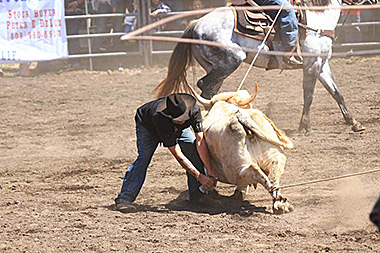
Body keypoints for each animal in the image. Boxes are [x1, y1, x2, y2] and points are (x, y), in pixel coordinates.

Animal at [154, 0, 374, 133]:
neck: (317, 17)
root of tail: (196, 23)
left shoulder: (322, 64)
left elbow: (336, 93)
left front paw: (354, 123)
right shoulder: (311, 64)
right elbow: (309, 95)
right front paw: (304, 126)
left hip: (217, 67)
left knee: (209, 89)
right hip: (231, 61)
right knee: (205, 86)